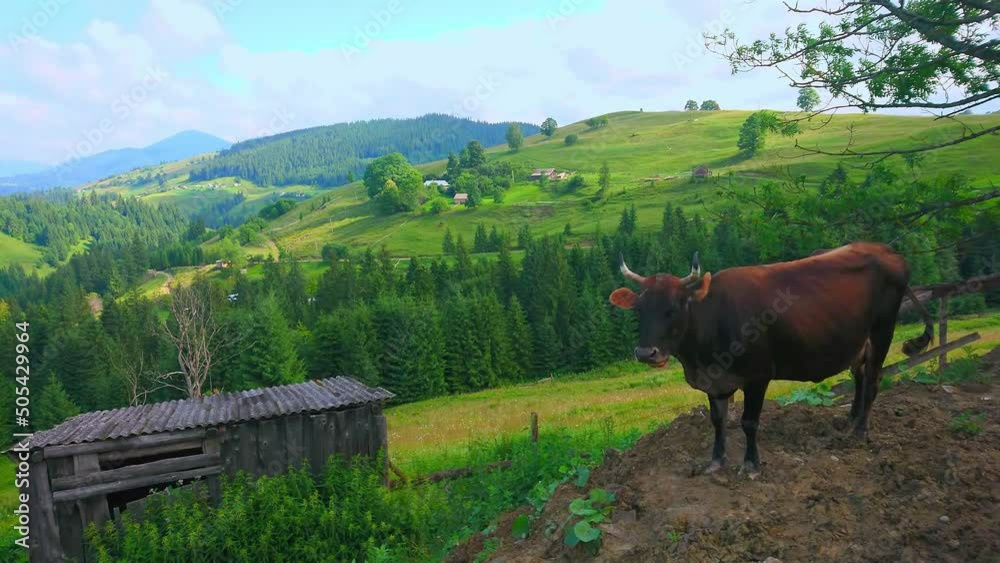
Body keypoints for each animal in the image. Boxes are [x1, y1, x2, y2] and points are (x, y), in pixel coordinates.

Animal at [608, 242, 936, 476]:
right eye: (639, 309)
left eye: (674, 308)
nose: (645, 353)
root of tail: (887, 251)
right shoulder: (715, 381)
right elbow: (717, 421)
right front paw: (716, 461)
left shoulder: (758, 375)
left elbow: (749, 422)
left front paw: (751, 465)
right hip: (857, 340)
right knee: (859, 373)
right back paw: (850, 420)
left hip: (883, 329)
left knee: (873, 379)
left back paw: (860, 431)